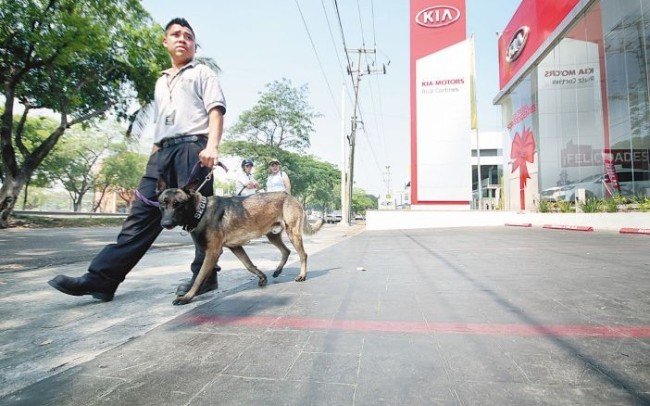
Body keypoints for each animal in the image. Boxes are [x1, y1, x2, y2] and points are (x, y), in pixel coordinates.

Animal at [157, 178, 324, 304]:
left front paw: (187, 297)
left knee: (303, 255)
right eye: (163, 204)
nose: (165, 224)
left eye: (178, 204)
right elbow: (248, 265)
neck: (201, 211)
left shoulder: (213, 252)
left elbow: (199, 277)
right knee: (286, 251)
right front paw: (262, 276)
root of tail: (291, 196)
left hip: (292, 234)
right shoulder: (235, 247)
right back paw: (277, 271)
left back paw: (302, 275)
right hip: (272, 235)